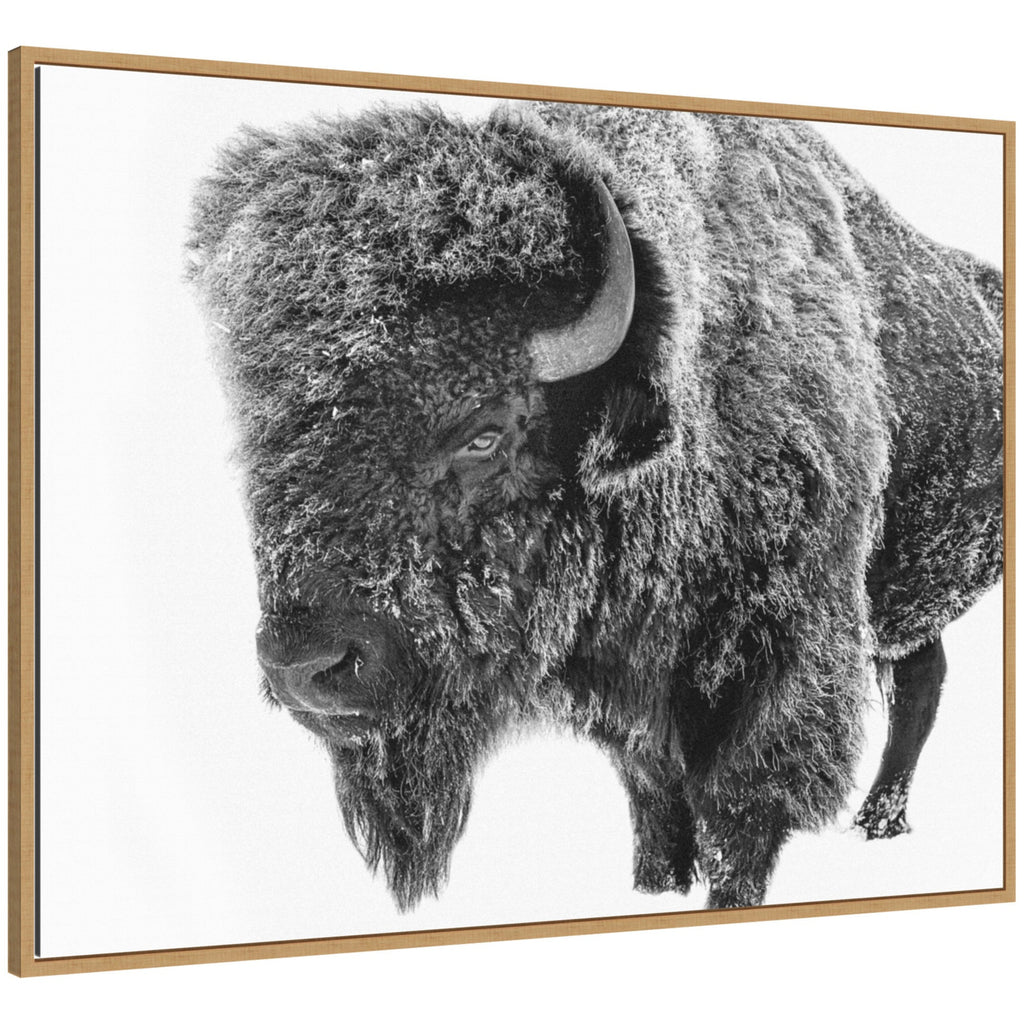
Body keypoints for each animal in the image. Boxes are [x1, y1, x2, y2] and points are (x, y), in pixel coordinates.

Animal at [187, 102, 1003, 910]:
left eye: (484, 430)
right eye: (263, 433)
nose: (307, 666)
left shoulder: (776, 672)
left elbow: (740, 817)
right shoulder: (628, 707)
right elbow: (657, 807)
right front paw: (655, 887)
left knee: (918, 688)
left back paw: (881, 822)